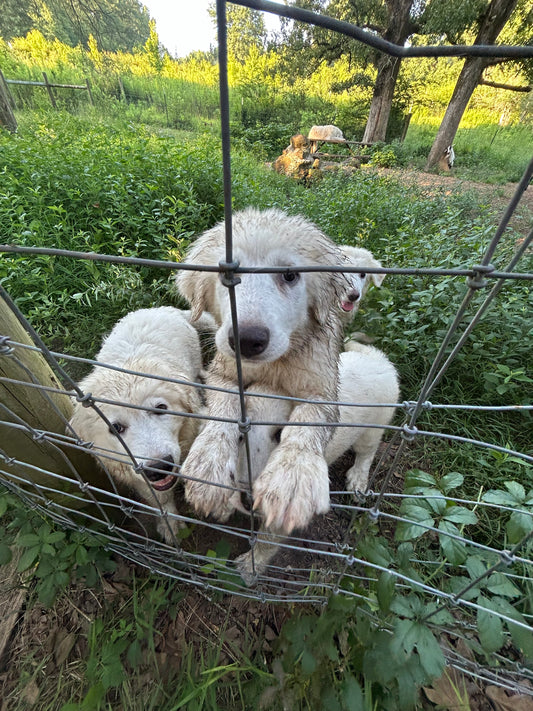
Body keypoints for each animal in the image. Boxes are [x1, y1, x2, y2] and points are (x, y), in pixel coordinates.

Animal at [67, 308, 208, 544]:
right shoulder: (134, 472)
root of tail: (159, 309)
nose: (158, 468)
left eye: (161, 408)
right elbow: (160, 498)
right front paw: (170, 525)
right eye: (115, 428)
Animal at [176, 206, 350, 536]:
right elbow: (224, 409)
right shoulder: (222, 372)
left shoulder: (323, 388)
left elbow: (307, 422)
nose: (247, 340)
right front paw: (208, 465)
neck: (273, 367)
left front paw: (291, 479)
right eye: (226, 276)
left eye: (290, 275)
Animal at [234, 344, 400, 584]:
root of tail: (378, 358)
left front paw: (248, 569)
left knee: (367, 453)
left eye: (281, 434)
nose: (248, 501)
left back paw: (357, 482)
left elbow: (267, 539)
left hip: (373, 430)